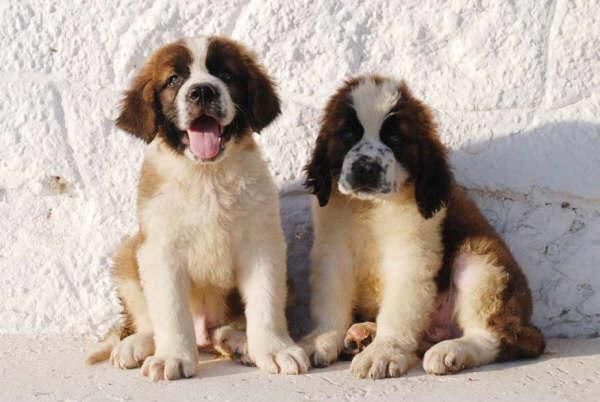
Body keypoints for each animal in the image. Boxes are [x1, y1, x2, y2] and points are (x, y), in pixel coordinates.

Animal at [88, 34, 310, 380]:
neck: (206, 176)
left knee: (227, 328)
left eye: (227, 75)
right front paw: (173, 356)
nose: (203, 90)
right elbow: (170, 310)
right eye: (173, 80)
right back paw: (136, 344)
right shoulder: (159, 250)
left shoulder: (263, 244)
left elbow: (266, 303)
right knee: (150, 320)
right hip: (128, 253)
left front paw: (275, 349)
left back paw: (240, 343)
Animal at [300, 74, 544, 376]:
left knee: (496, 335)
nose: (366, 167)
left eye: (395, 139)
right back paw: (363, 333)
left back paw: (452, 351)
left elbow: (399, 310)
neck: (372, 205)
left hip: (482, 262)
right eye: (347, 135)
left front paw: (383, 352)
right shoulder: (332, 250)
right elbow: (331, 298)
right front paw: (321, 339)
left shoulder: (412, 255)